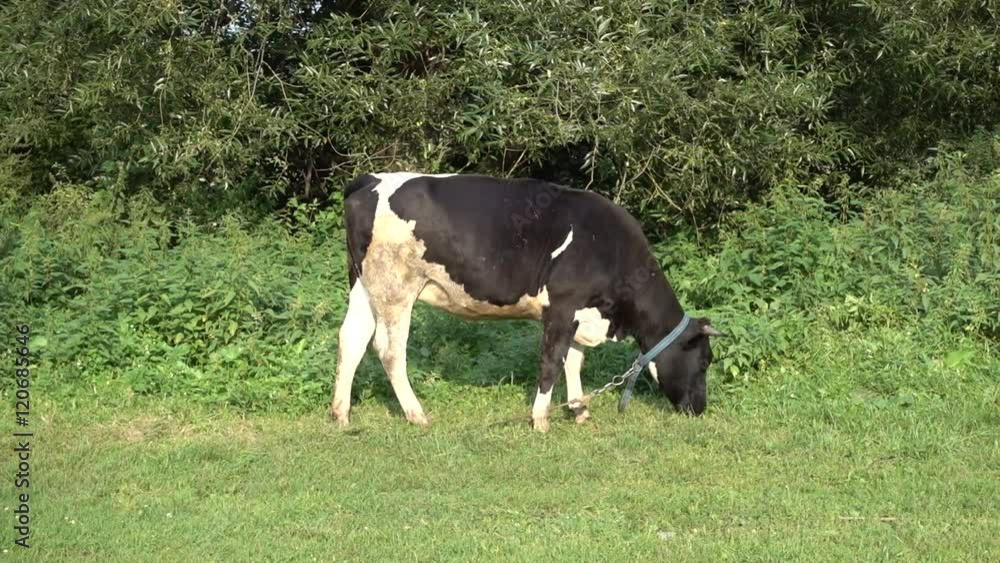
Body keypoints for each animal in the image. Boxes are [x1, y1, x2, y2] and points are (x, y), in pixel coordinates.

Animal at [330, 172, 723, 432]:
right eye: (704, 361)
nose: (700, 409)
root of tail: (370, 180)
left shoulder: (581, 313)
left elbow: (574, 362)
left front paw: (578, 409)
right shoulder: (561, 308)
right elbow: (551, 363)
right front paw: (540, 419)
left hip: (364, 286)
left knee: (352, 338)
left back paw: (341, 413)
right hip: (396, 289)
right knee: (389, 350)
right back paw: (417, 414)